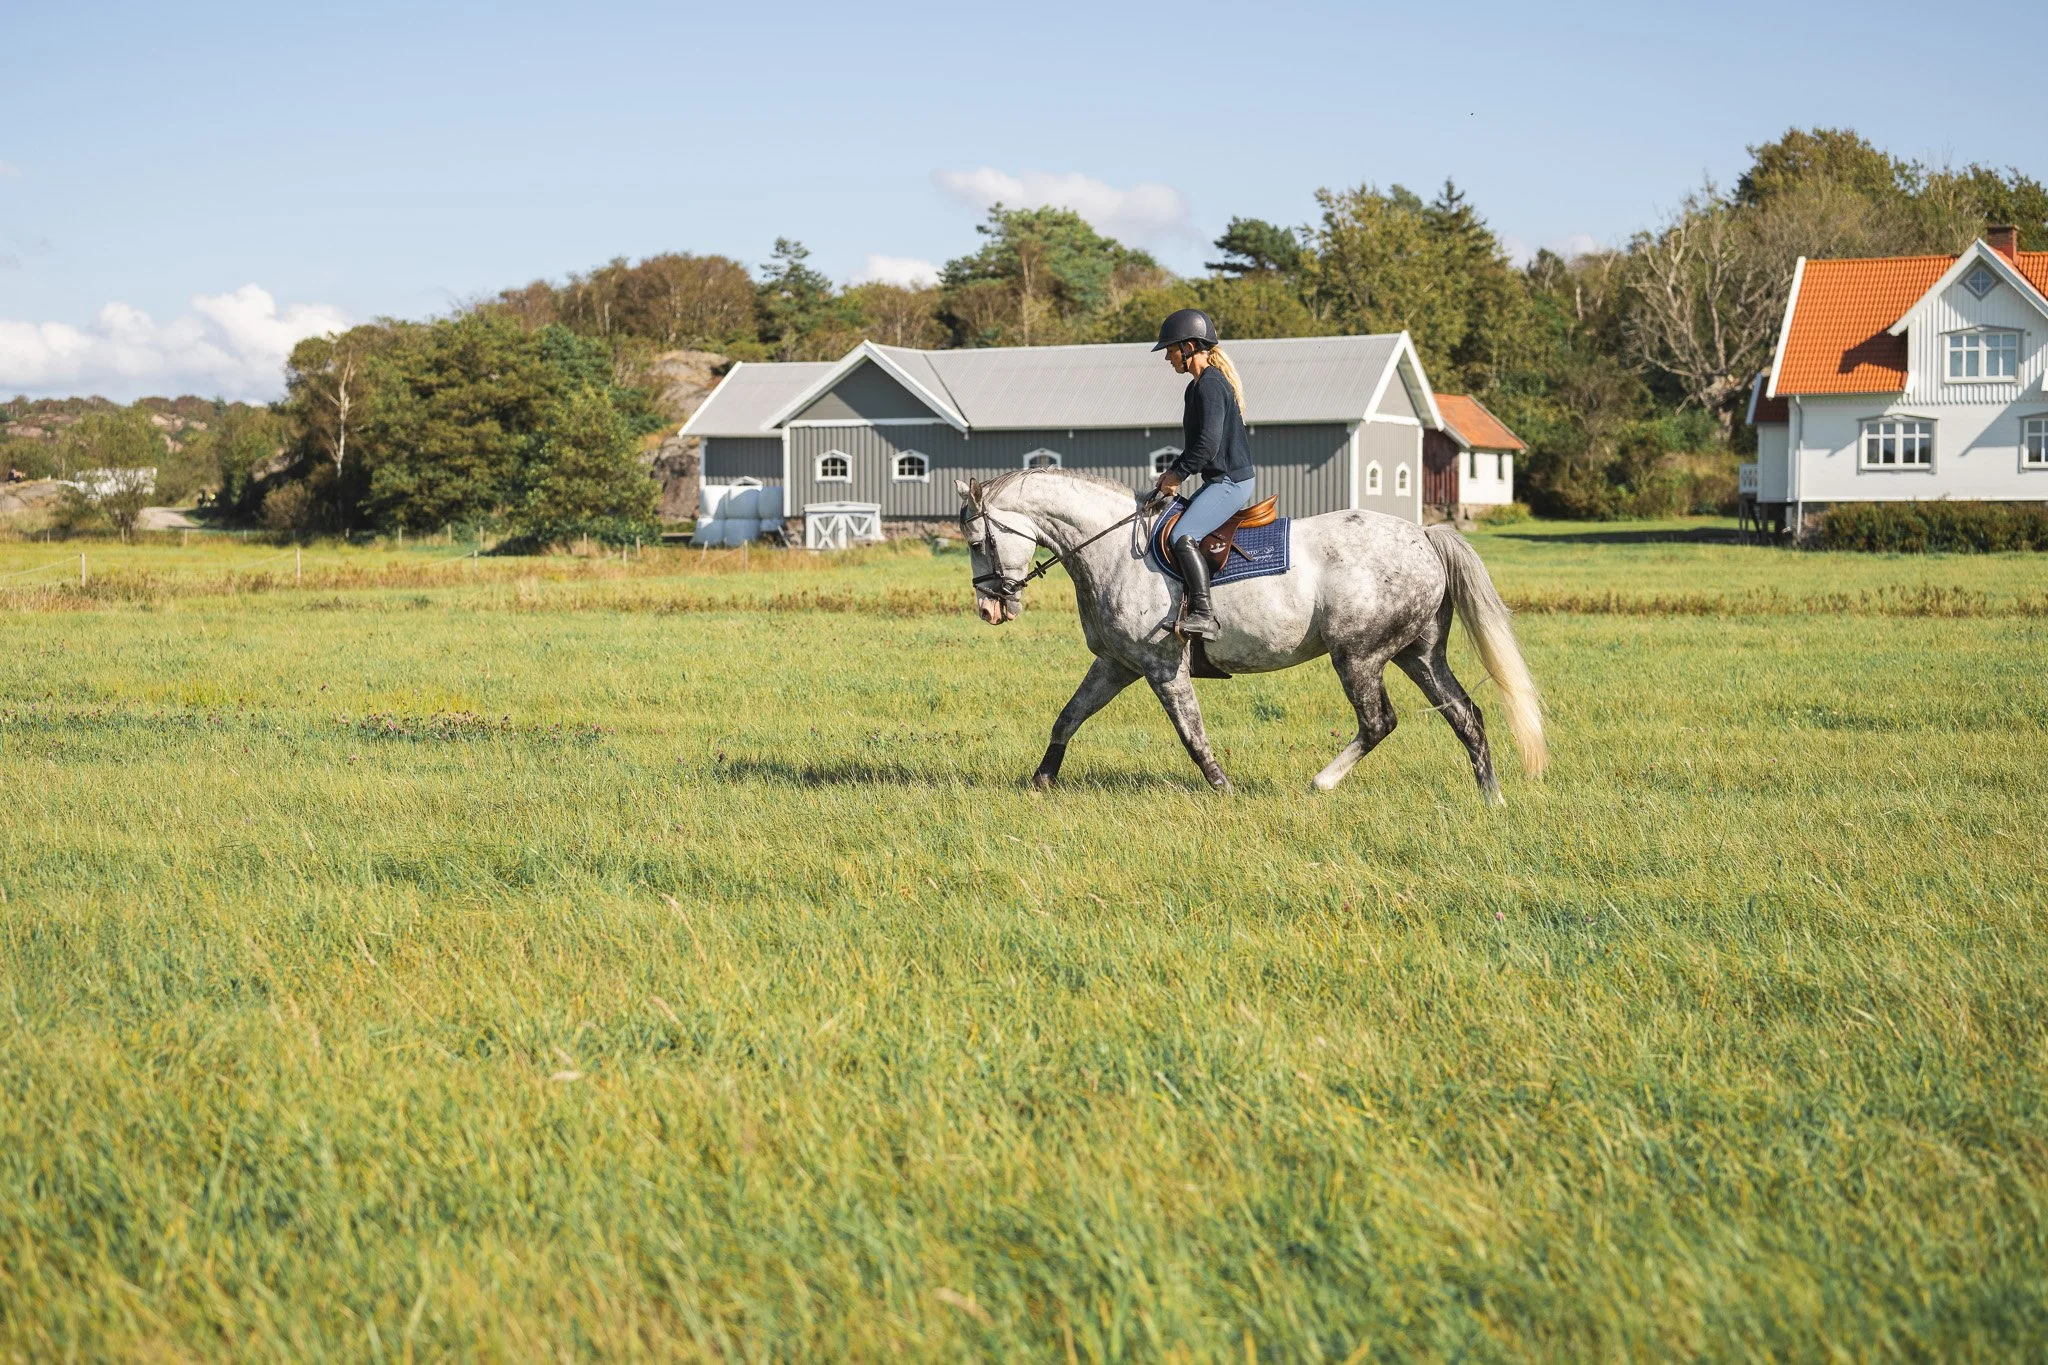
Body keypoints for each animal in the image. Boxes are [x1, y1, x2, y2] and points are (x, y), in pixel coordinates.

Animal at [956, 469, 1546, 799]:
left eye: (978, 541)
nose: (988, 609)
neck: (1113, 550)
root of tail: (1424, 535)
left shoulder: (1161, 666)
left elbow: (1191, 734)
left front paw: (1223, 789)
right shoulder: (1117, 664)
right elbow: (1068, 716)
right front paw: (1041, 781)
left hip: (1359, 656)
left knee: (1380, 721)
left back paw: (1321, 784)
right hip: (1418, 654)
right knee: (1465, 715)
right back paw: (1490, 797)